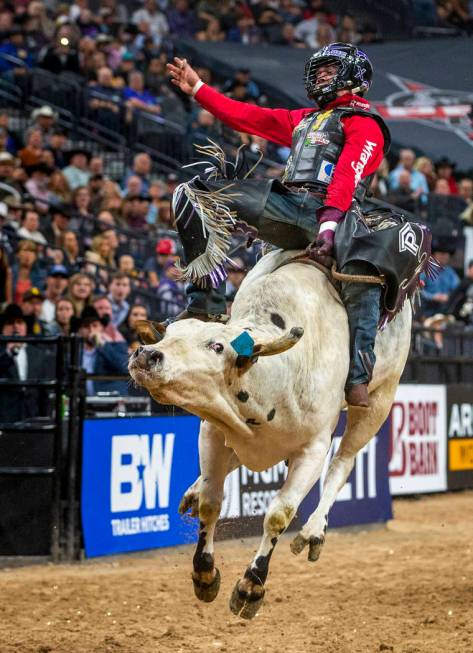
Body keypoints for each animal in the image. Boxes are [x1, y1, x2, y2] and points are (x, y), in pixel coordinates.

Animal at [128, 247, 410, 620]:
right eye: (168, 335)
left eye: (217, 346)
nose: (147, 354)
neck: (277, 377)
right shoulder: (214, 431)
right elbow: (211, 503)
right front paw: (204, 574)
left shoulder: (313, 449)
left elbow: (279, 514)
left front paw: (251, 587)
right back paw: (193, 490)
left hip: (379, 401)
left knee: (344, 462)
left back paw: (314, 531)